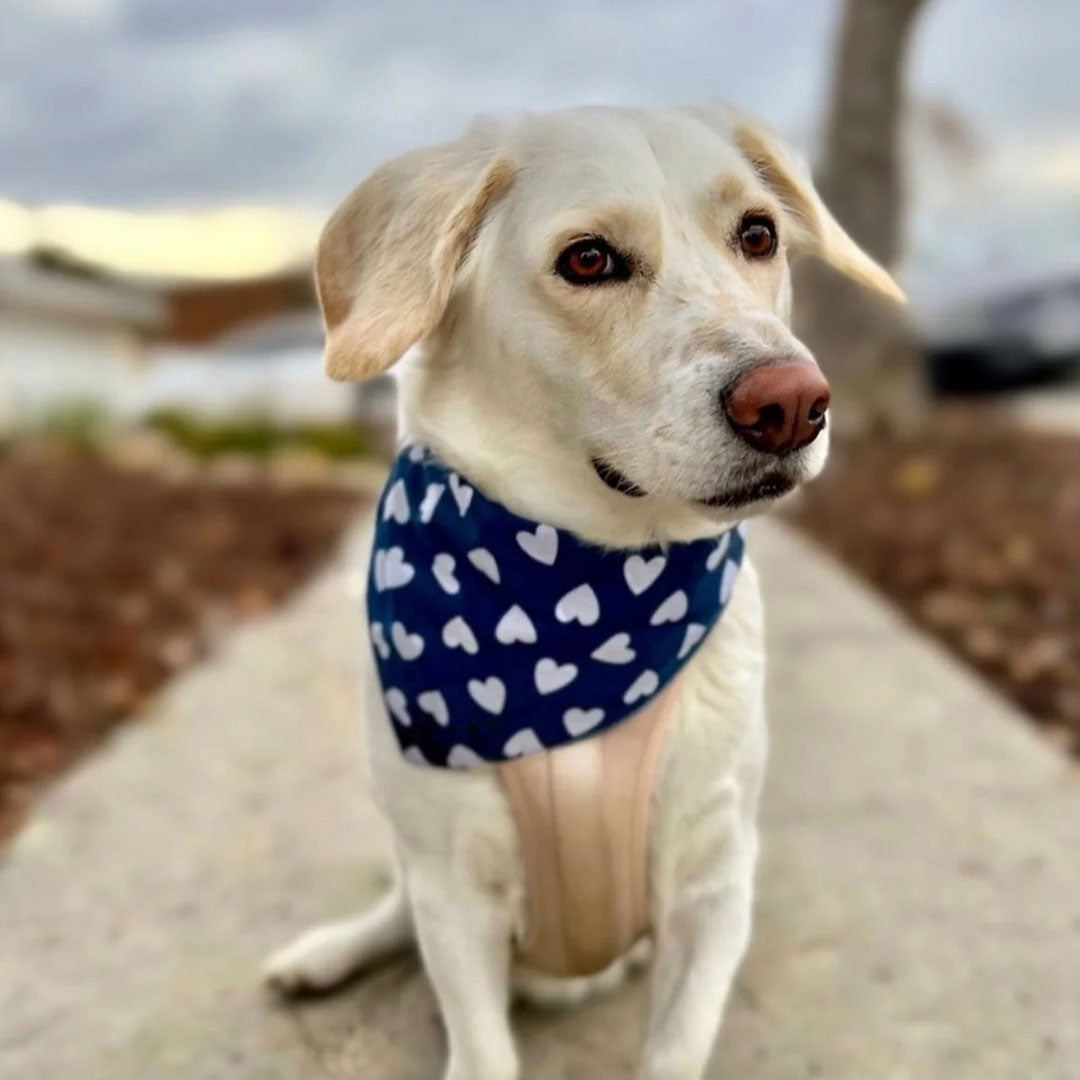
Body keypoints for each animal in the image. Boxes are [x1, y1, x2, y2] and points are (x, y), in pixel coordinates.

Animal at [263, 103, 902, 1080]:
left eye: (758, 235)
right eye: (590, 259)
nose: (793, 402)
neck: (590, 590)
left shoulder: (714, 888)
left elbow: (675, 1047)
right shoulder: (455, 897)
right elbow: (480, 1048)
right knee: (393, 913)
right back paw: (323, 956)